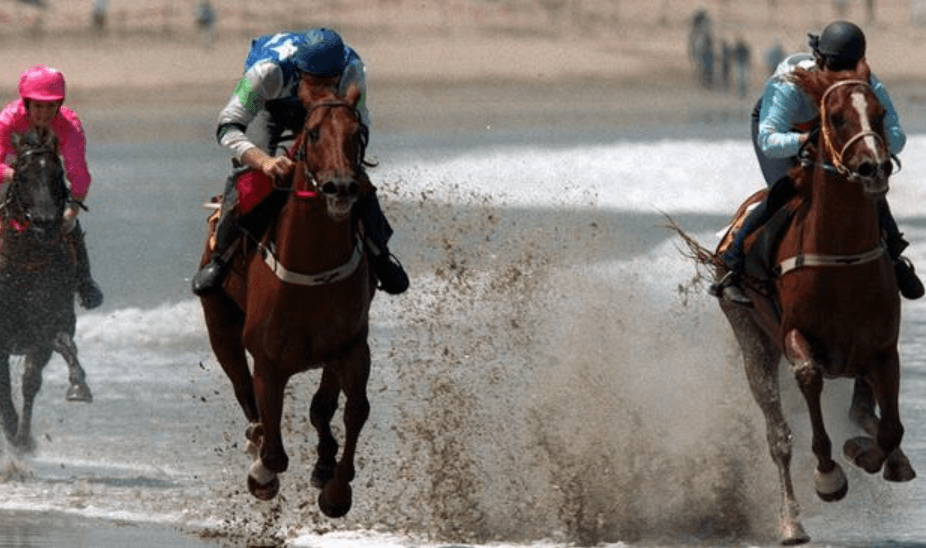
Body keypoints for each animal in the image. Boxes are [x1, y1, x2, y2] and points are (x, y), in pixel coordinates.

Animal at [0, 126, 92, 453]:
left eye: (58, 172)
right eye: (22, 174)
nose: (46, 223)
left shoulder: (47, 328)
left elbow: (35, 375)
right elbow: (4, 385)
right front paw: (12, 429)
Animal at [199, 84, 376, 518]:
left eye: (357, 134)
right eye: (313, 133)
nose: (340, 187)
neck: (311, 270)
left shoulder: (350, 346)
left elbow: (352, 409)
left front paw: (335, 488)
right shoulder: (269, 361)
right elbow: (275, 452)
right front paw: (262, 473)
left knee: (320, 407)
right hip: (219, 323)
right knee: (243, 389)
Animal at [670, 61, 915, 545]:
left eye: (879, 114)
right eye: (836, 118)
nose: (873, 168)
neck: (841, 255)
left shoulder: (882, 346)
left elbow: (889, 425)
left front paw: (873, 453)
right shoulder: (795, 338)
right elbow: (808, 381)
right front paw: (829, 475)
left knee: (863, 408)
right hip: (750, 338)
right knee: (777, 434)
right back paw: (791, 521)